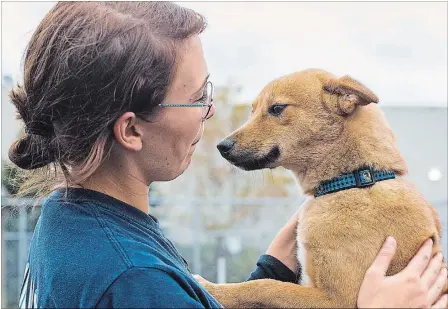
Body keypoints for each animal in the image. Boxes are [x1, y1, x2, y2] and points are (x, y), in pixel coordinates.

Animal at [201, 68, 446, 306]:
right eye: (252, 111)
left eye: (277, 108)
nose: (222, 146)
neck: (353, 180)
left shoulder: (338, 300)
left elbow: (267, 287)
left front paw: (214, 289)